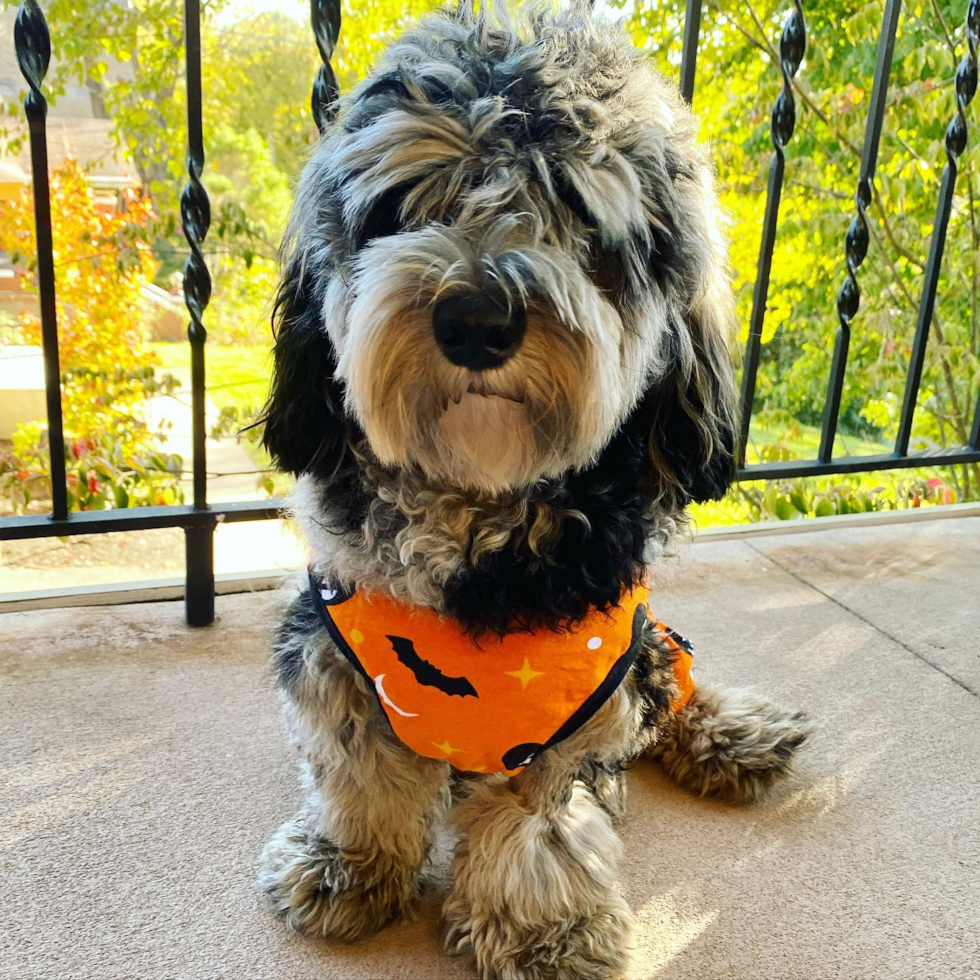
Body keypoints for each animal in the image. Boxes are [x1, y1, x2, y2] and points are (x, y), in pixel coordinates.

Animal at [255, 3, 812, 976]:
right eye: (403, 204)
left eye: (578, 214)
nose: (475, 318)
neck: (481, 503)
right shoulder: (333, 651)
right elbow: (360, 772)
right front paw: (351, 866)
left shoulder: (577, 707)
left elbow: (534, 822)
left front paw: (540, 929)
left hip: (644, 651)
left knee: (673, 676)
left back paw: (732, 732)